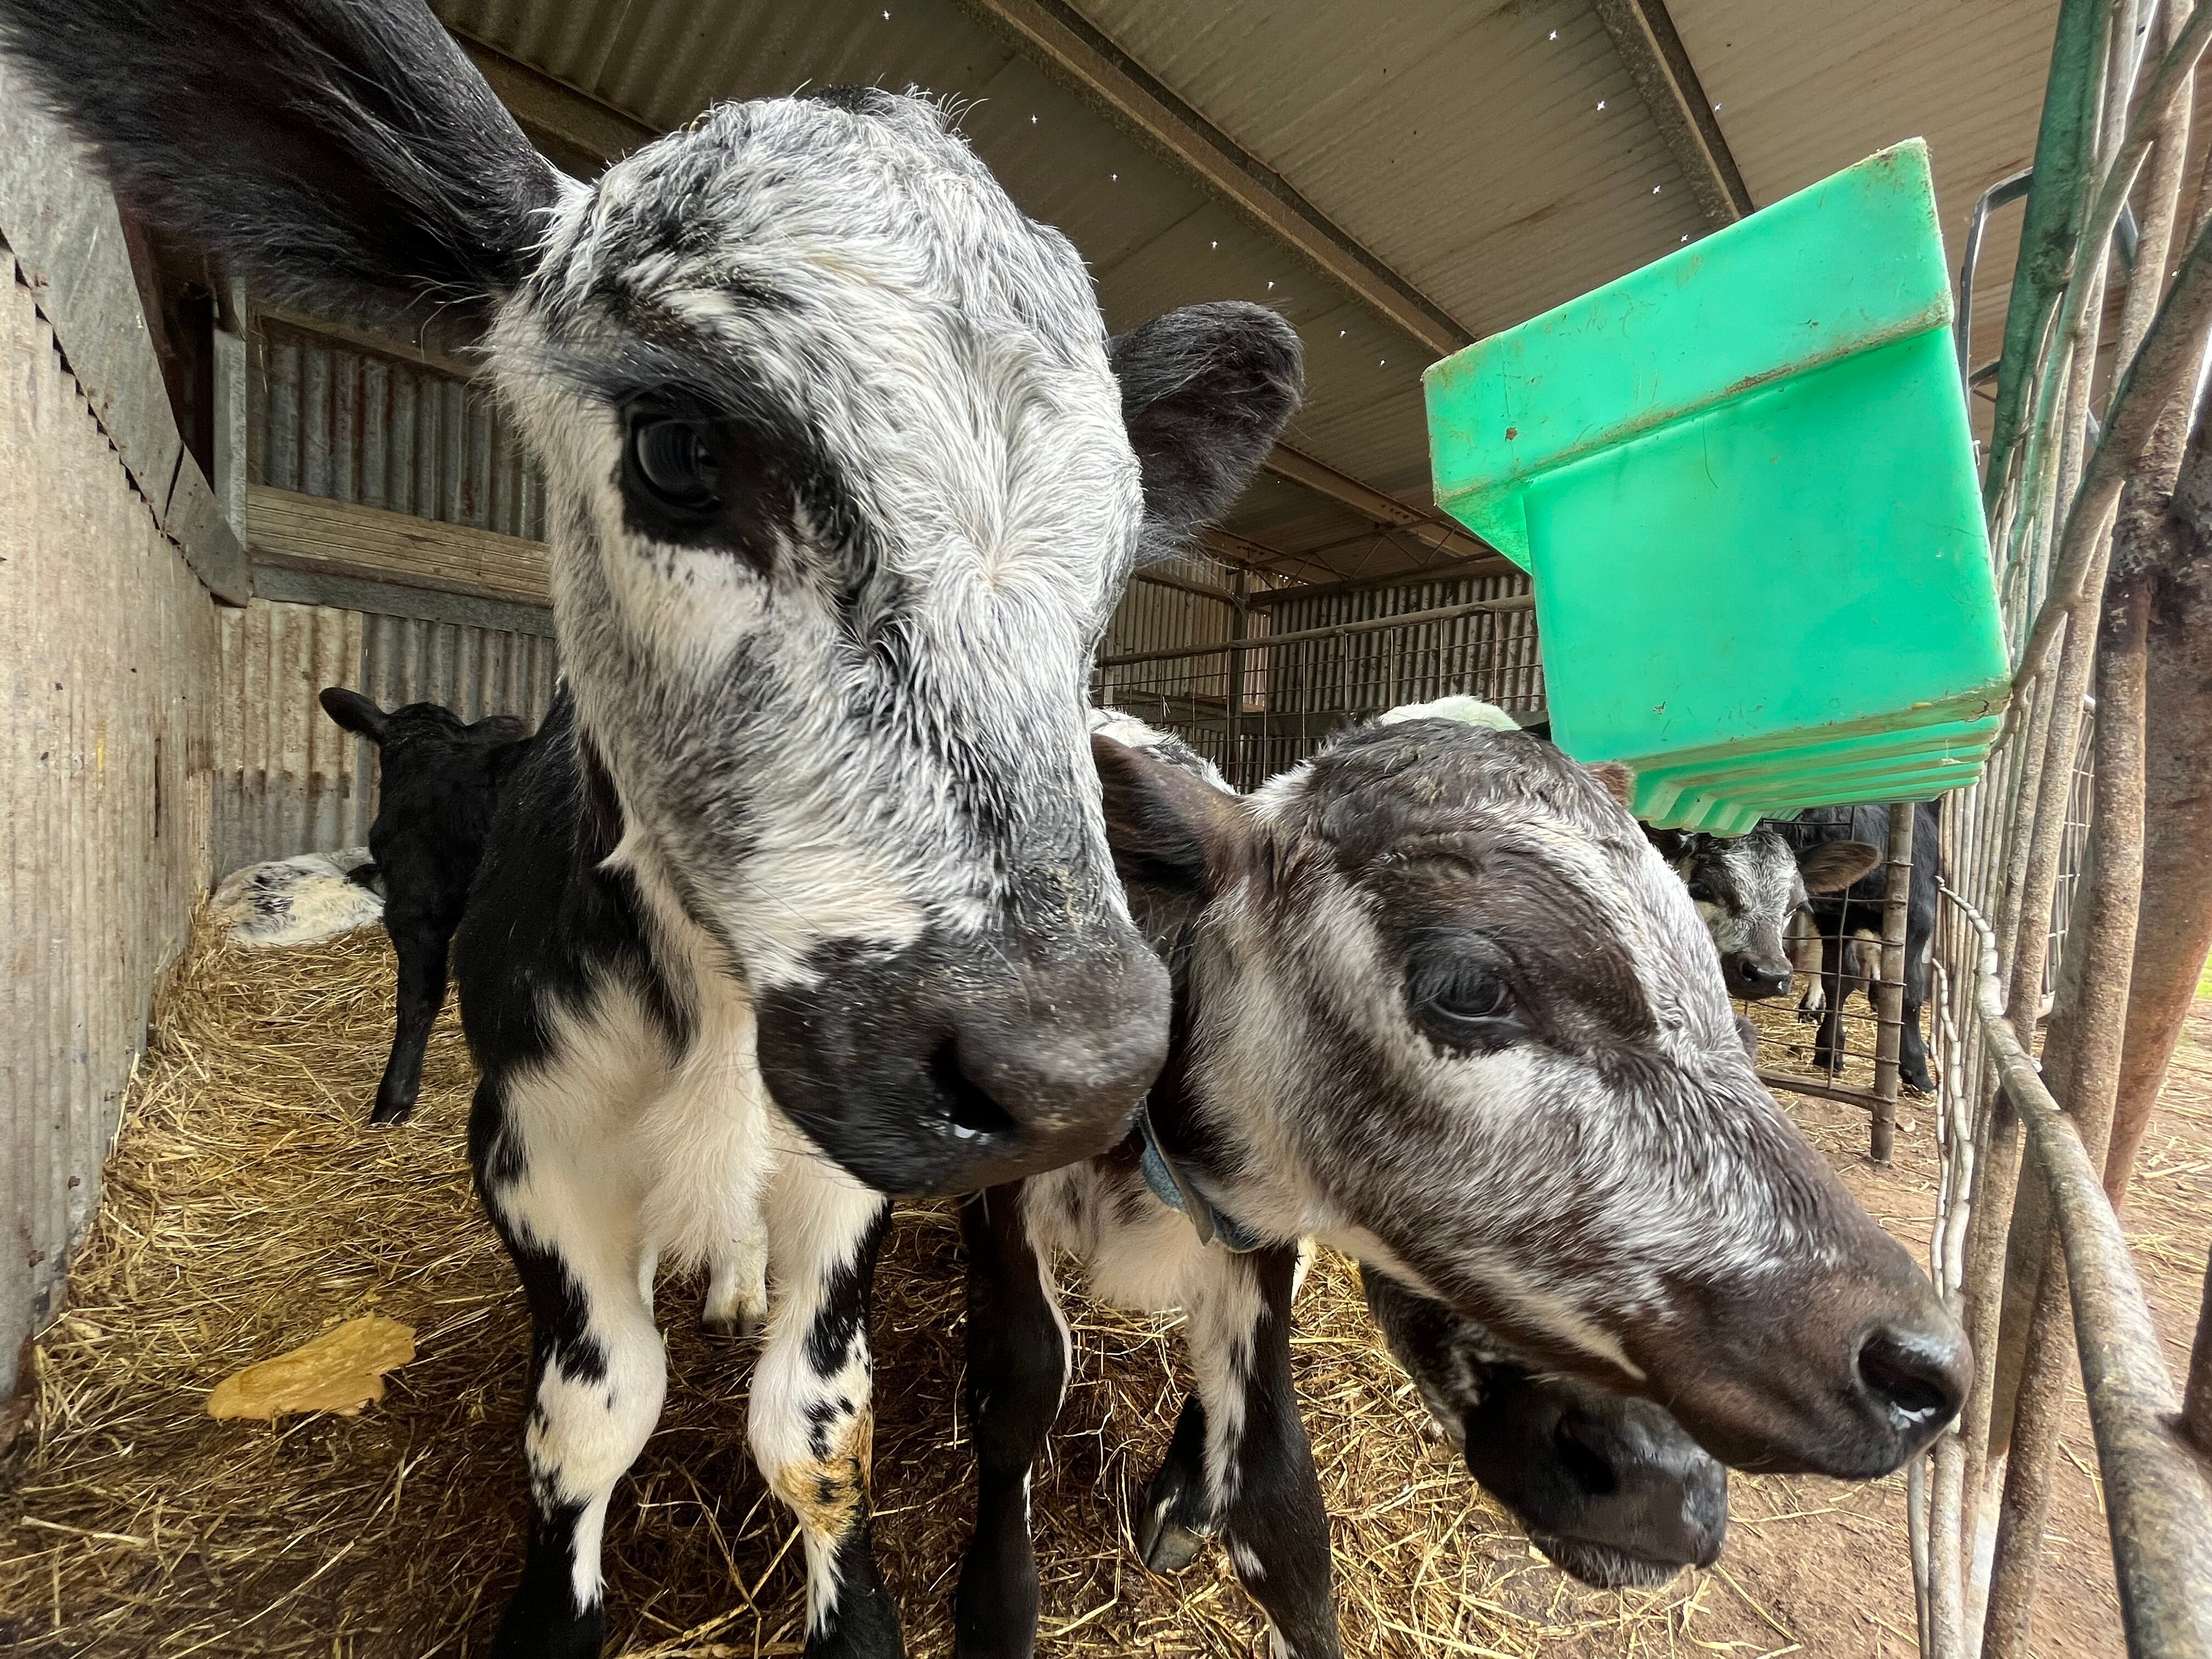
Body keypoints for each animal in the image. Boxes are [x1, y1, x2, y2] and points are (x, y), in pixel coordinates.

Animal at [943, 706, 1967, 1659]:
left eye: (1731, 1018)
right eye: (1471, 987)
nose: (1922, 1365)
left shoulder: (1260, 1244)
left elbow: (1282, 1510)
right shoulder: (996, 1200)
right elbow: (1018, 1384)